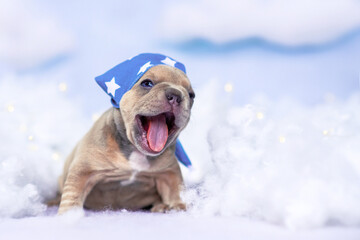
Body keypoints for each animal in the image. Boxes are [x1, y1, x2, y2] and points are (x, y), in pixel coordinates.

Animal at [56, 63, 195, 214]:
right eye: (147, 83)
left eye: (191, 95)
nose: (175, 95)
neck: (136, 152)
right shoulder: (83, 170)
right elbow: (72, 194)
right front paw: (70, 214)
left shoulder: (168, 172)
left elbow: (175, 188)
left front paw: (178, 205)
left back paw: (160, 206)